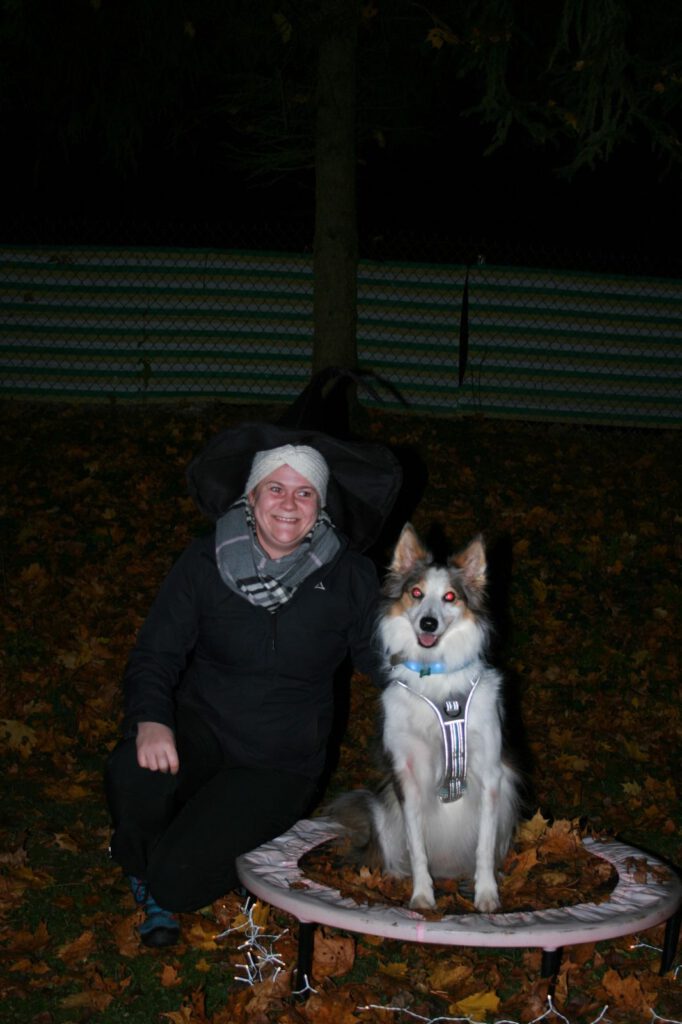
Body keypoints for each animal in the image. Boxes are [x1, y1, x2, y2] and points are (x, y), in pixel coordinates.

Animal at [331, 524, 518, 909]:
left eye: (449, 597)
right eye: (416, 593)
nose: (428, 623)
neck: (437, 678)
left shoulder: (491, 774)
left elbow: (484, 846)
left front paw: (486, 892)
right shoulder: (408, 776)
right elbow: (417, 847)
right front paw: (421, 894)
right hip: (385, 816)